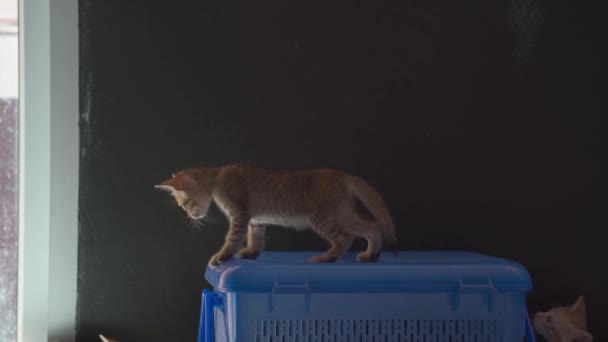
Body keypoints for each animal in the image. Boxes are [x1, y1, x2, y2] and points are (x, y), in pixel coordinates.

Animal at [154, 164, 396, 268]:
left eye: (185, 204)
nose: (190, 215)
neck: (217, 175)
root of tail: (344, 175)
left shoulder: (239, 214)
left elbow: (232, 239)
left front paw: (222, 256)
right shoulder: (255, 220)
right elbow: (255, 238)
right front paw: (251, 252)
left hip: (324, 217)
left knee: (345, 237)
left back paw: (327, 258)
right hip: (344, 213)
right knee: (373, 226)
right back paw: (371, 255)